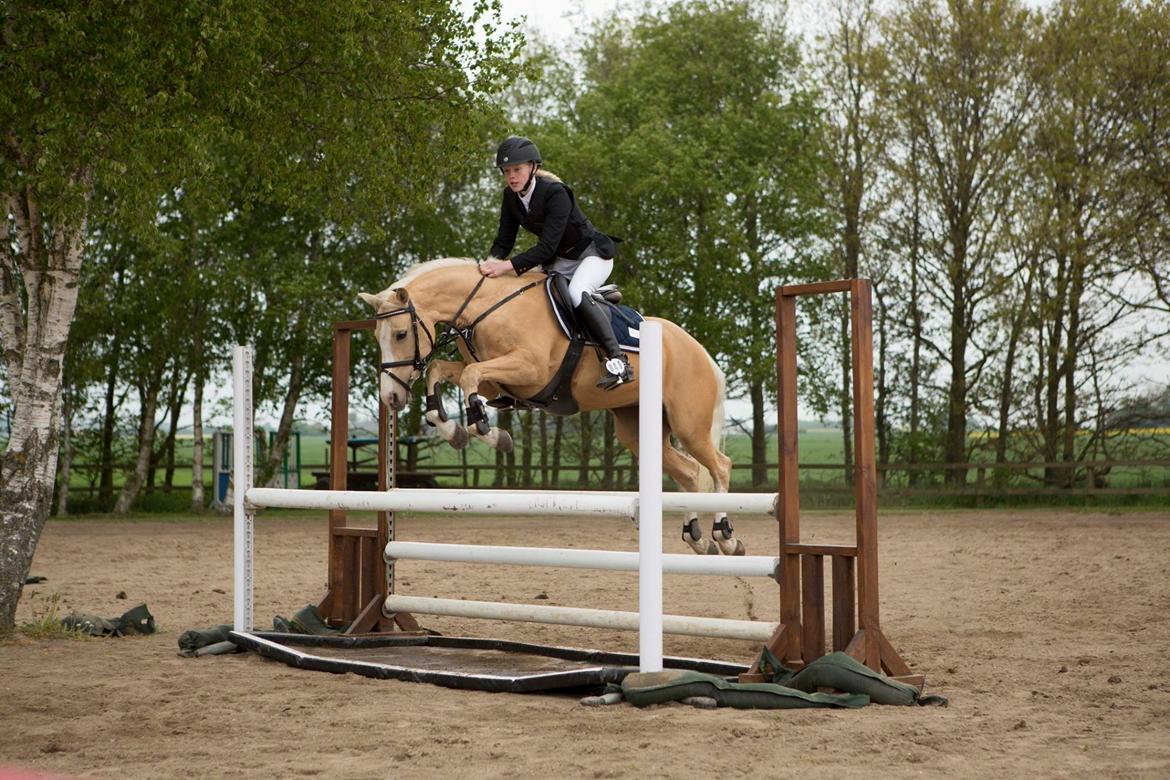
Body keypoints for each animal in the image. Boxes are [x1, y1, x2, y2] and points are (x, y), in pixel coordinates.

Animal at [358, 257, 745, 556]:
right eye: (378, 337)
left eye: (400, 334)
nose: (391, 398)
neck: (488, 307)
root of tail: (699, 350)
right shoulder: (497, 382)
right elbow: (442, 370)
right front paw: (454, 429)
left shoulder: (529, 371)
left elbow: (467, 375)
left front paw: (486, 429)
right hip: (637, 429)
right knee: (690, 472)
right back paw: (696, 538)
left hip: (688, 425)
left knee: (720, 467)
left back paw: (725, 536)